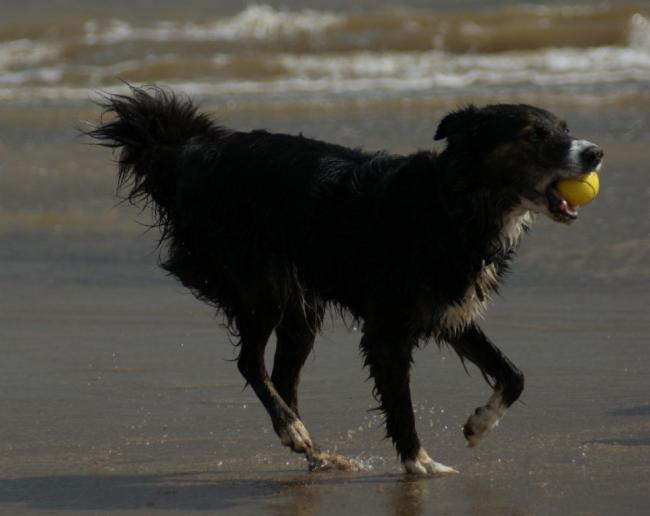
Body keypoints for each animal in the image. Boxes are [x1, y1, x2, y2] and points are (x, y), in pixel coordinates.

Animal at [90, 85, 604, 476]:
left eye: (564, 128)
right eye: (535, 134)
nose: (596, 152)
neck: (453, 206)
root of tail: (191, 153)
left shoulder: (448, 311)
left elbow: (513, 373)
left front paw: (479, 424)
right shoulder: (387, 329)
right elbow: (400, 403)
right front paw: (419, 464)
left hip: (302, 307)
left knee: (282, 375)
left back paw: (313, 450)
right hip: (261, 284)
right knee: (250, 364)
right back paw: (293, 430)